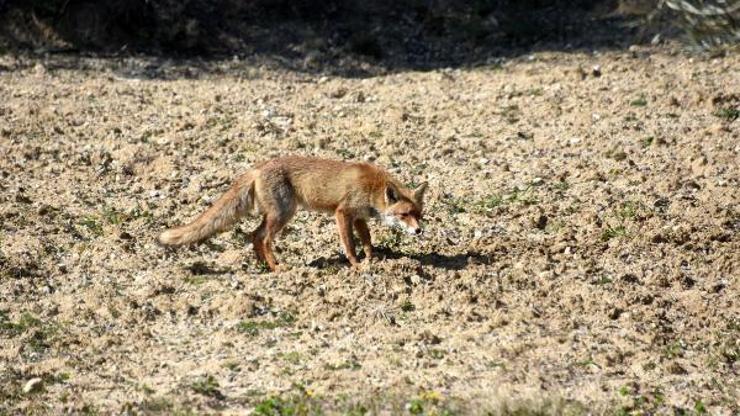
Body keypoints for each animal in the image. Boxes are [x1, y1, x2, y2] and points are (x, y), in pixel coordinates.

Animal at [159, 155, 430, 270]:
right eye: (404, 214)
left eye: (418, 214)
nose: (419, 231)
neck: (372, 188)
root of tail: (257, 168)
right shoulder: (342, 213)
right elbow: (350, 244)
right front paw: (356, 265)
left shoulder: (359, 217)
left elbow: (367, 240)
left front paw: (372, 259)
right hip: (284, 214)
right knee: (264, 239)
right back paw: (279, 268)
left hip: (276, 215)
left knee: (254, 236)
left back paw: (264, 265)